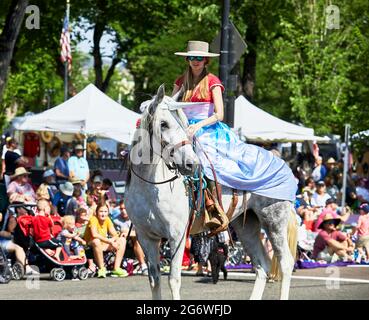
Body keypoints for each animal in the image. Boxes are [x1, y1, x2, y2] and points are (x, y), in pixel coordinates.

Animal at [123, 85, 296, 300]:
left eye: (184, 124)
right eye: (163, 124)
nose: (192, 164)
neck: (150, 186)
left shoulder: (177, 235)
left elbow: (173, 280)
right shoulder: (146, 237)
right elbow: (154, 279)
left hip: (274, 221)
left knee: (286, 263)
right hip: (246, 226)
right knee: (262, 265)